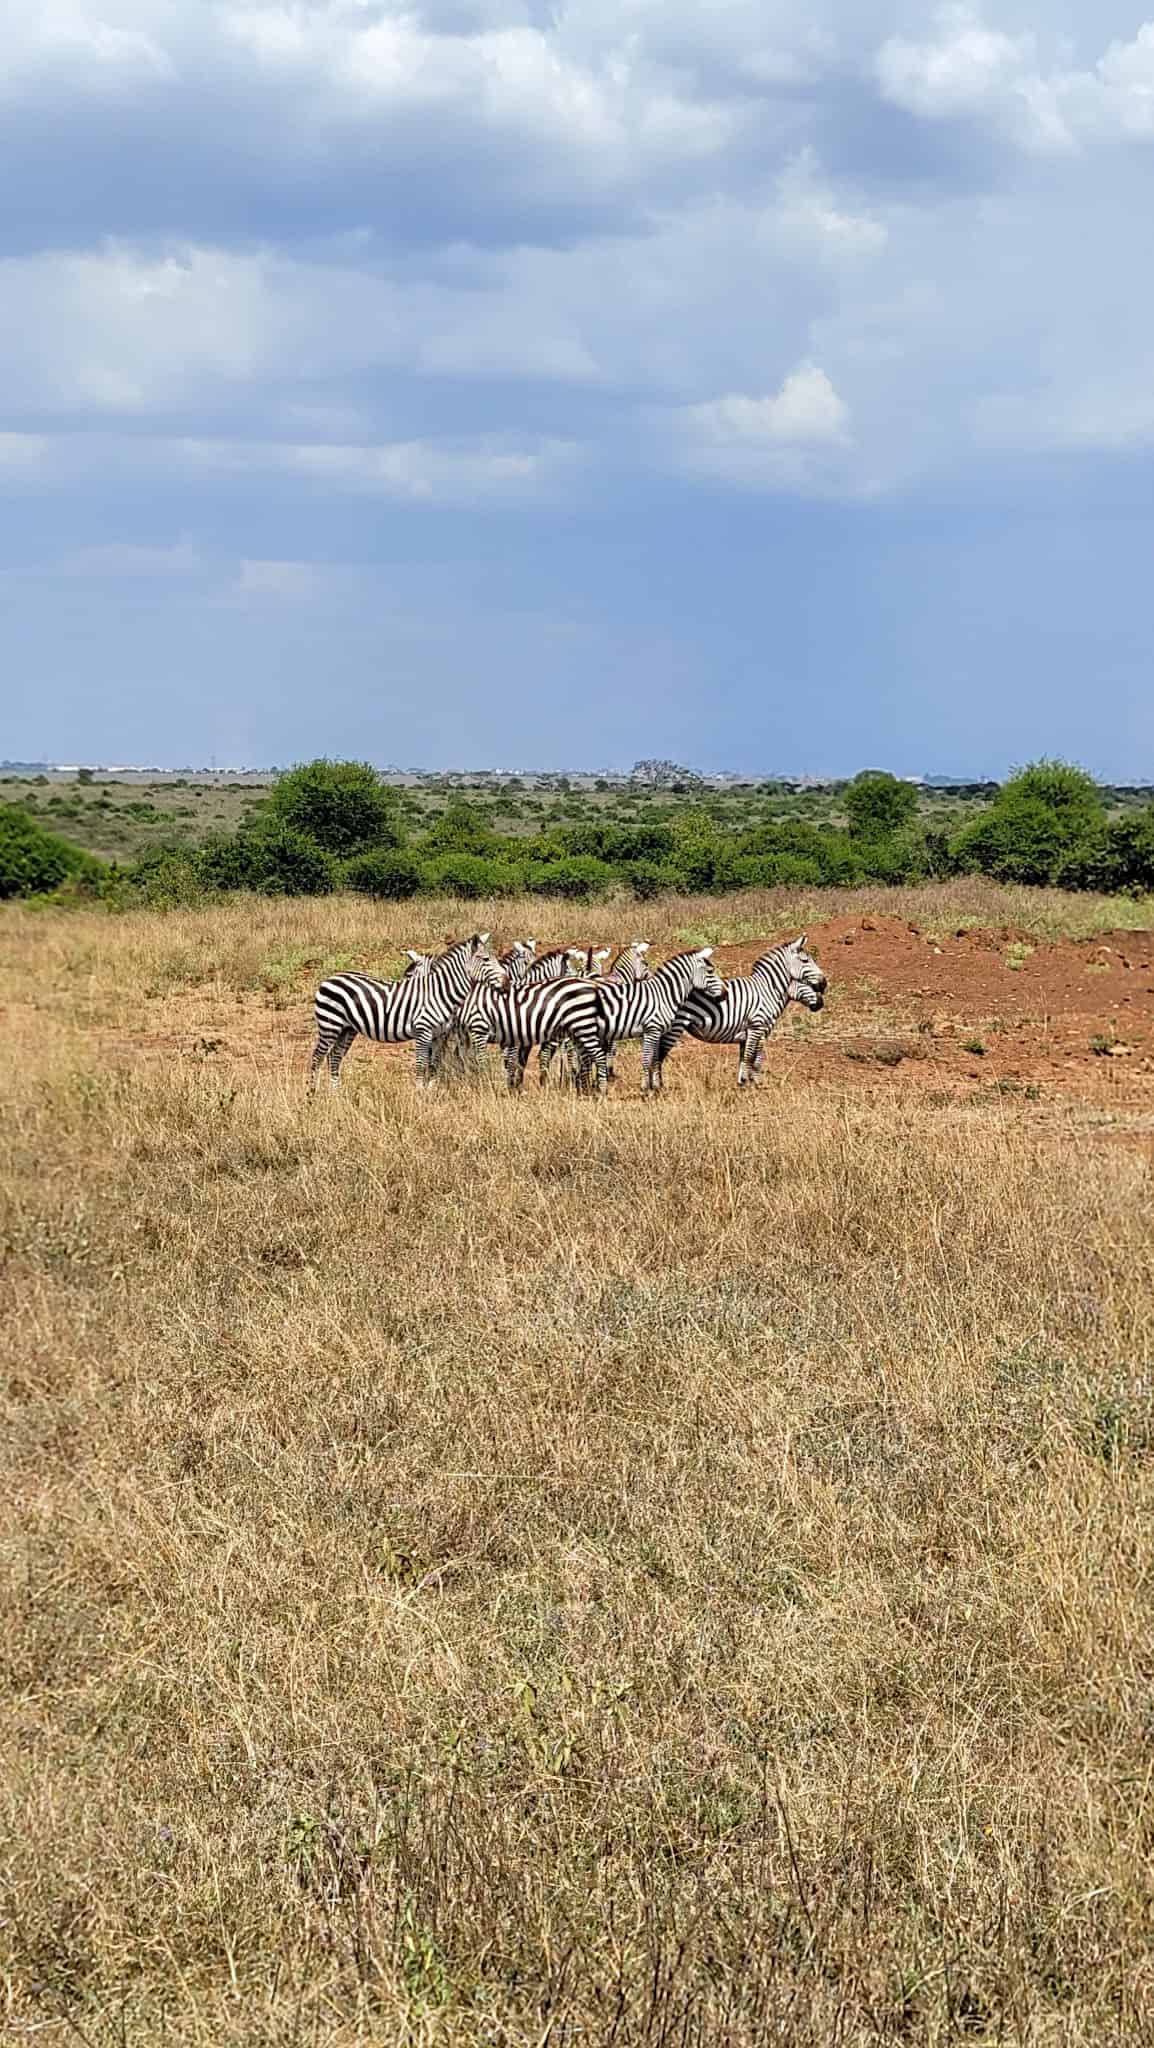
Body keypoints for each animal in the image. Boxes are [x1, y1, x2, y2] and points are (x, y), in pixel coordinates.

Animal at [311, 929, 502, 1089]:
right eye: (486, 959)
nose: (506, 982)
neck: (440, 992)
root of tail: (330, 978)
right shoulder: (424, 1031)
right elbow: (421, 1064)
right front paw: (419, 1093)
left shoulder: (439, 1035)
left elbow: (434, 1064)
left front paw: (431, 1092)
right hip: (330, 1025)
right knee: (317, 1057)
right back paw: (313, 1096)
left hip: (347, 1028)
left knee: (334, 1057)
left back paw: (335, 1094)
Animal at [452, 950, 614, 1097]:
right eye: (572, 971)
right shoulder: (514, 1036)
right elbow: (513, 1061)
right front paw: (513, 1086)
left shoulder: (522, 1038)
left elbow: (520, 1061)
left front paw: (516, 1086)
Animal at [586, 946, 721, 1097]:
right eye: (710, 971)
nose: (724, 994)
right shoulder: (645, 1029)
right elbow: (638, 1057)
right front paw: (643, 1088)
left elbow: (652, 1058)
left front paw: (654, 1087)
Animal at [651, 937, 832, 1089]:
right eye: (805, 961)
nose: (823, 986)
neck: (767, 990)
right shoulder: (757, 1028)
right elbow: (753, 1058)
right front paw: (752, 1085)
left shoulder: (748, 1034)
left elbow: (745, 1059)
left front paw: (744, 1084)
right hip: (675, 1026)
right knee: (659, 1053)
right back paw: (659, 1087)